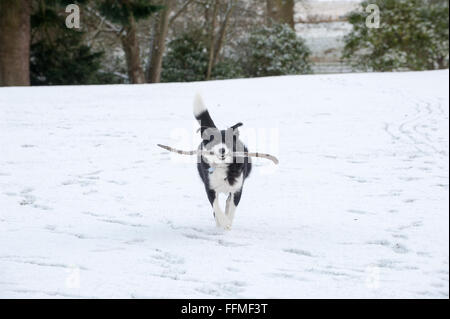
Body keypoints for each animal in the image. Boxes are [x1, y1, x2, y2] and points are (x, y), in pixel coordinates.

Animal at [193, 95, 251, 230]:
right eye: (214, 142)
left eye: (228, 142)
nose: (222, 150)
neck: (222, 166)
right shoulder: (210, 187)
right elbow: (216, 207)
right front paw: (223, 222)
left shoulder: (237, 189)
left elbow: (232, 208)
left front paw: (228, 223)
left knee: (228, 202)